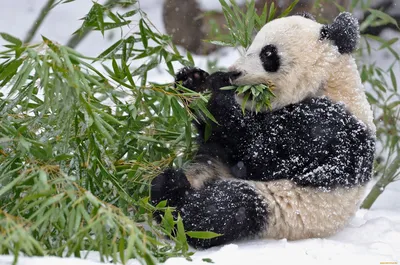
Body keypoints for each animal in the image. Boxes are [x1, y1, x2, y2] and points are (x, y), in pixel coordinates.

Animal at [149, 11, 376, 249]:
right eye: (251, 45)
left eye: (268, 54)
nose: (234, 73)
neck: (330, 81)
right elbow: (218, 138)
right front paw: (192, 80)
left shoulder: (327, 126)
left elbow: (260, 153)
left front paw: (212, 88)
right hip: (210, 168)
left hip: (284, 208)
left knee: (228, 208)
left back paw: (174, 197)